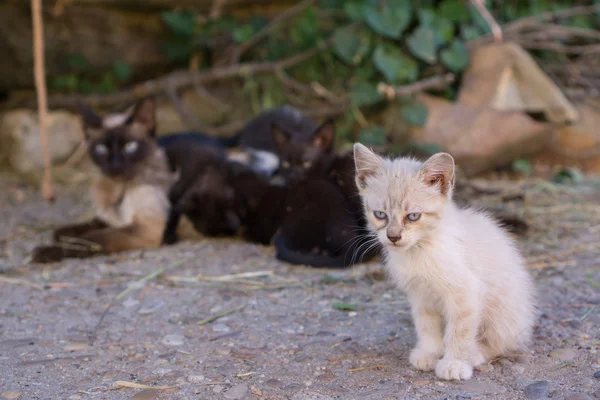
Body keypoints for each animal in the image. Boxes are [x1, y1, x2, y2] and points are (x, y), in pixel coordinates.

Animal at [352, 142, 536, 380]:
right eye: (380, 214)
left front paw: (454, 363)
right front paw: (429, 353)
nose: (393, 237)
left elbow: (459, 331)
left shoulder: (465, 292)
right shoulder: (421, 294)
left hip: (503, 312)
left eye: (413, 216)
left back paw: (475, 353)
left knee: (501, 341)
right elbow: (427, 325)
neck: (419, 250)